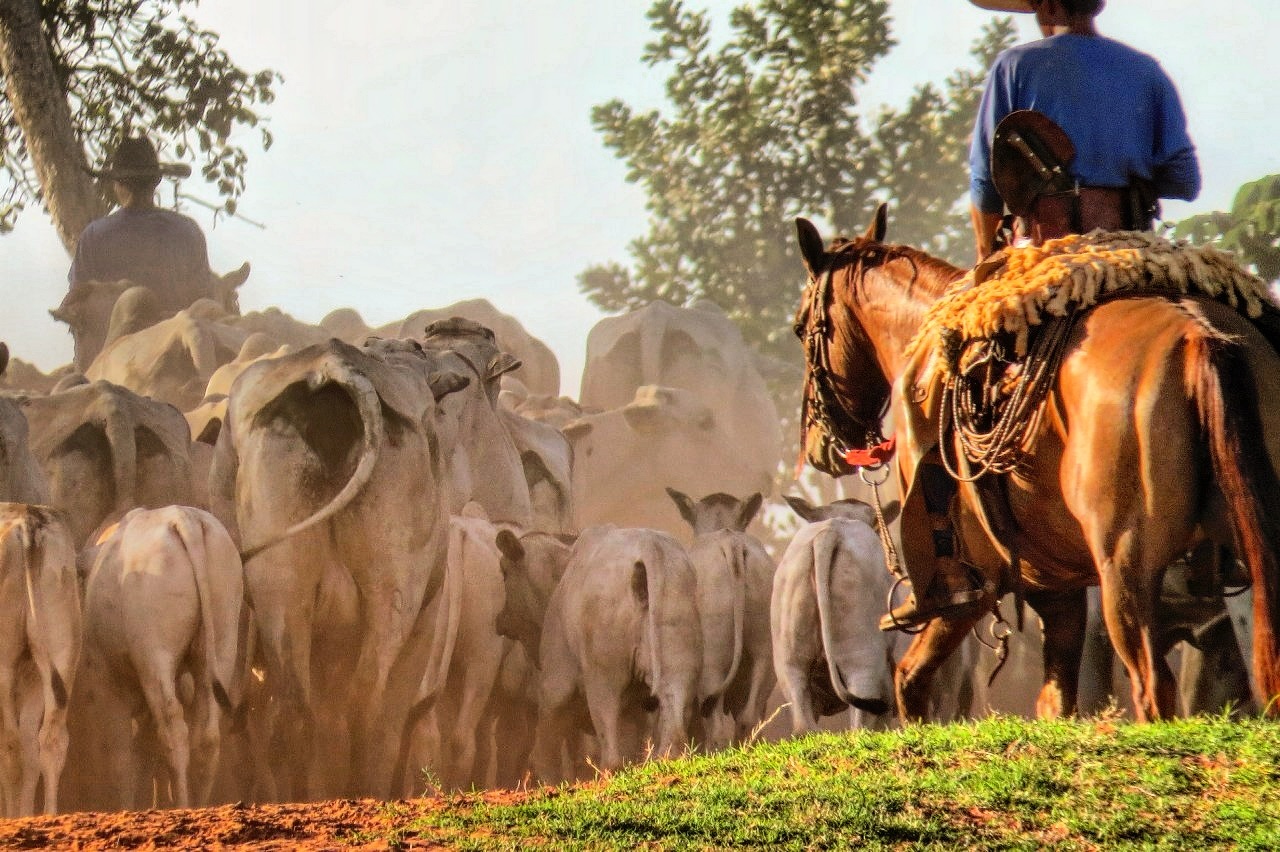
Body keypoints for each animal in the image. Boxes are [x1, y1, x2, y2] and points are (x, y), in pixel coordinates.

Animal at [793, 205, 1280, 716]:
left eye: (801, 328)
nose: (819, 445)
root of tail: (1202, 337)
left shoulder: (977, 582)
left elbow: (910, 677)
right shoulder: (1055, 586)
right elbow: (1055, 700)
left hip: (1124, 570)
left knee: (1152, 686)